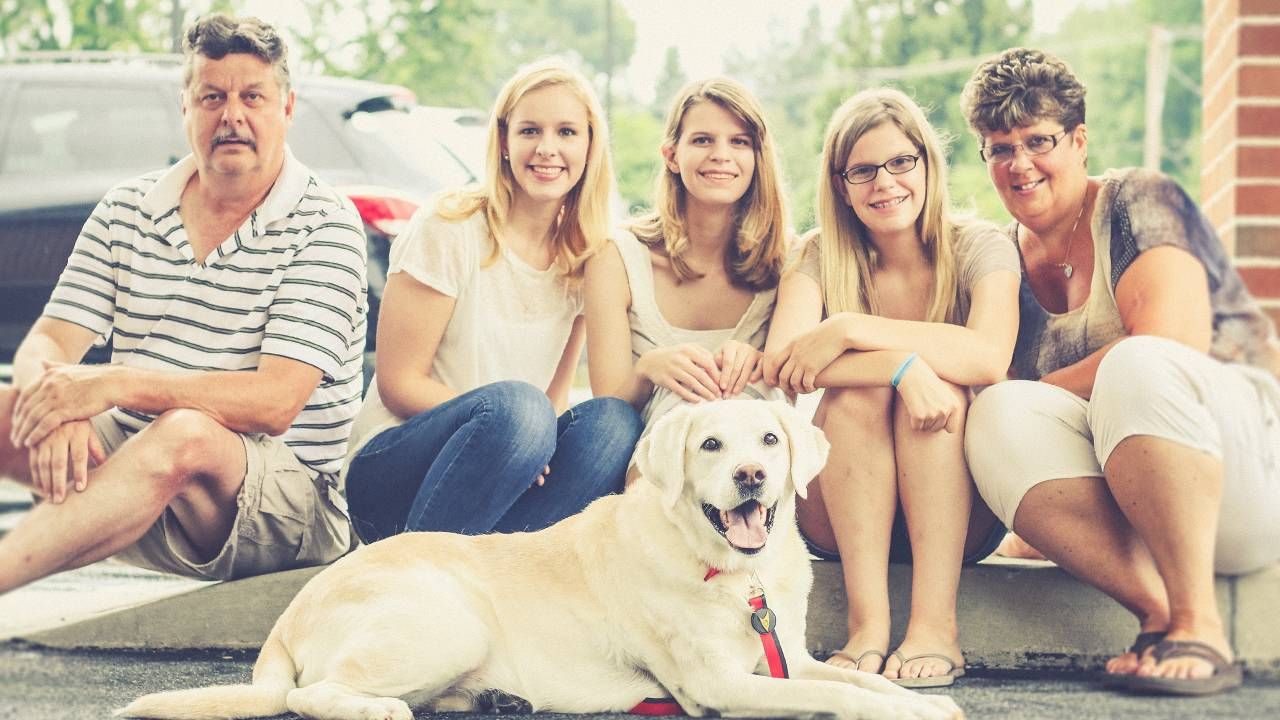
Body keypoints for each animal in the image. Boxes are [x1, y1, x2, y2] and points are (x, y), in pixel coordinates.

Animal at [120, 399, 962, 712]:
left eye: (769, 440)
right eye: (711, 446)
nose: (752, 475)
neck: (732, 574)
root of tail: (291, 613)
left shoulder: (787, 656)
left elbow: (862, 682)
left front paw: (930, 701)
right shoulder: (718, 686)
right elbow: (853, 698)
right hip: (447, 620)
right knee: (310, 696)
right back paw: (381, 706)